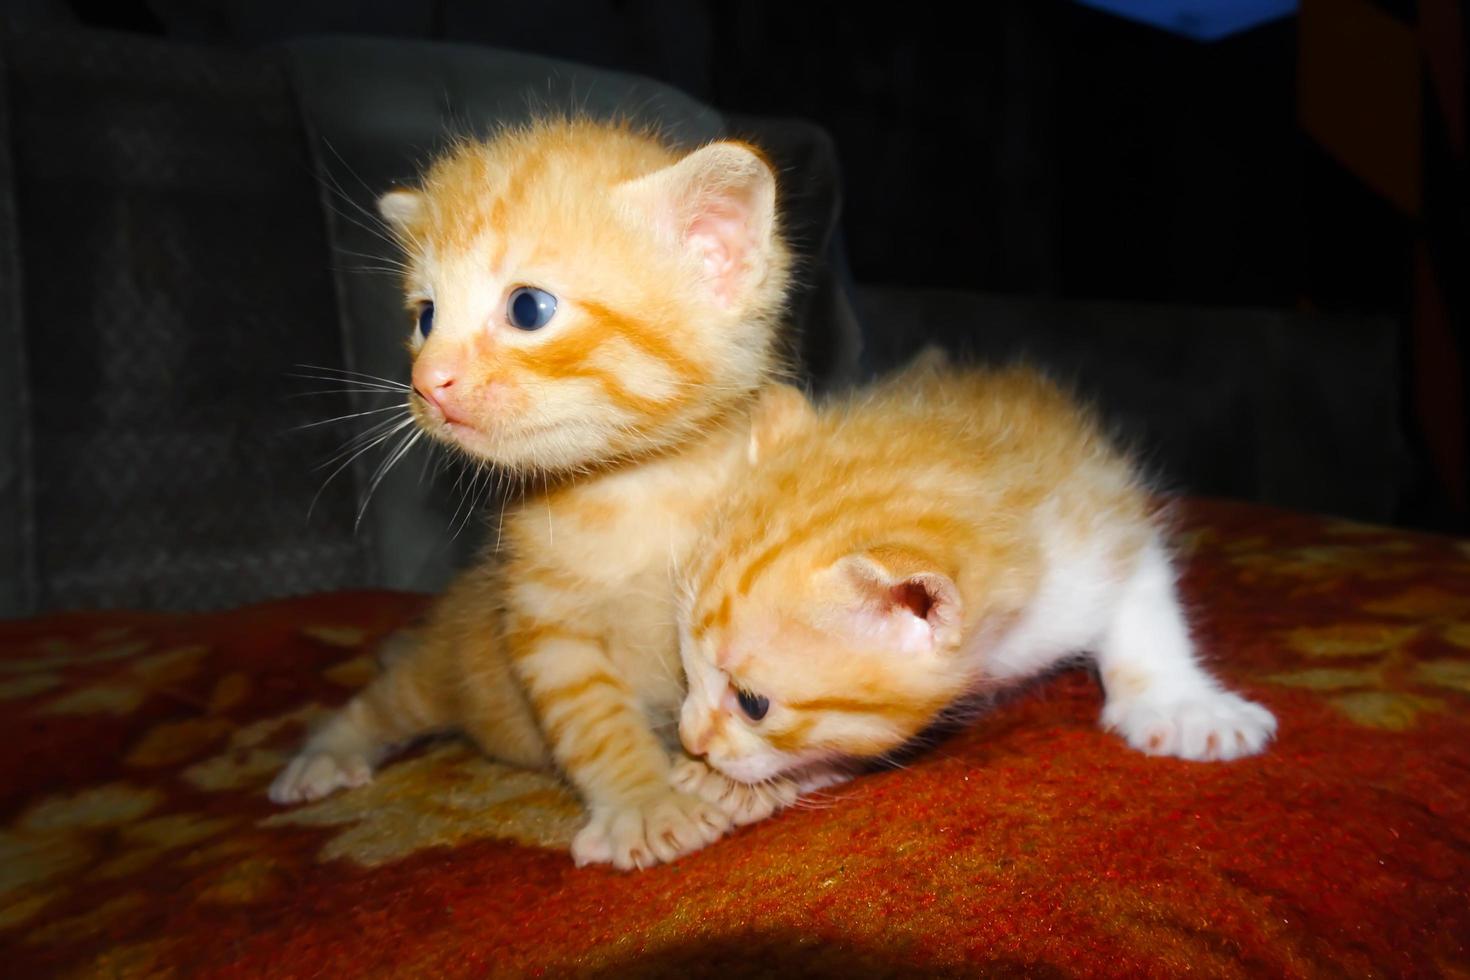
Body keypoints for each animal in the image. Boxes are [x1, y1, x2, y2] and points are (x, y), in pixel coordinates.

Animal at [670, 364, 1275, 811]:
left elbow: (1143, 599)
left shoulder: (1099, 519)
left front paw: (1182, 706)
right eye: (686, 667)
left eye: (753, 704)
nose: (688, 739)